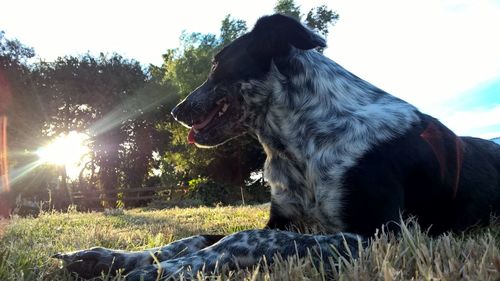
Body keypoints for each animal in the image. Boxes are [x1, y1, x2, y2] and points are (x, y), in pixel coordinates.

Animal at [55, 13, 500, 280]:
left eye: (217, 63)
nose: (177, 110)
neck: (303, 143)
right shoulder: (283, 222)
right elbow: (194, 237)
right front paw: (110, 257)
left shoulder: (381, 235)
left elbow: (241, 238)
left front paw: (169, 269)